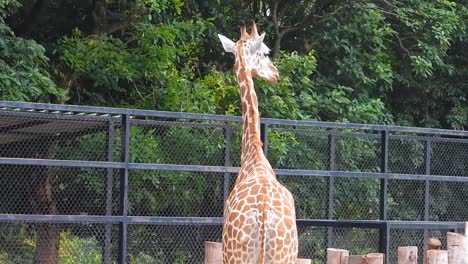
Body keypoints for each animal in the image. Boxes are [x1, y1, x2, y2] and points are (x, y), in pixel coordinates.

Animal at [218, 21, 298, 264]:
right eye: (265, 53)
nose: (275, 73)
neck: (253, 155)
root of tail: (262, 215)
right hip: (281, 257)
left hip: (236, 256)